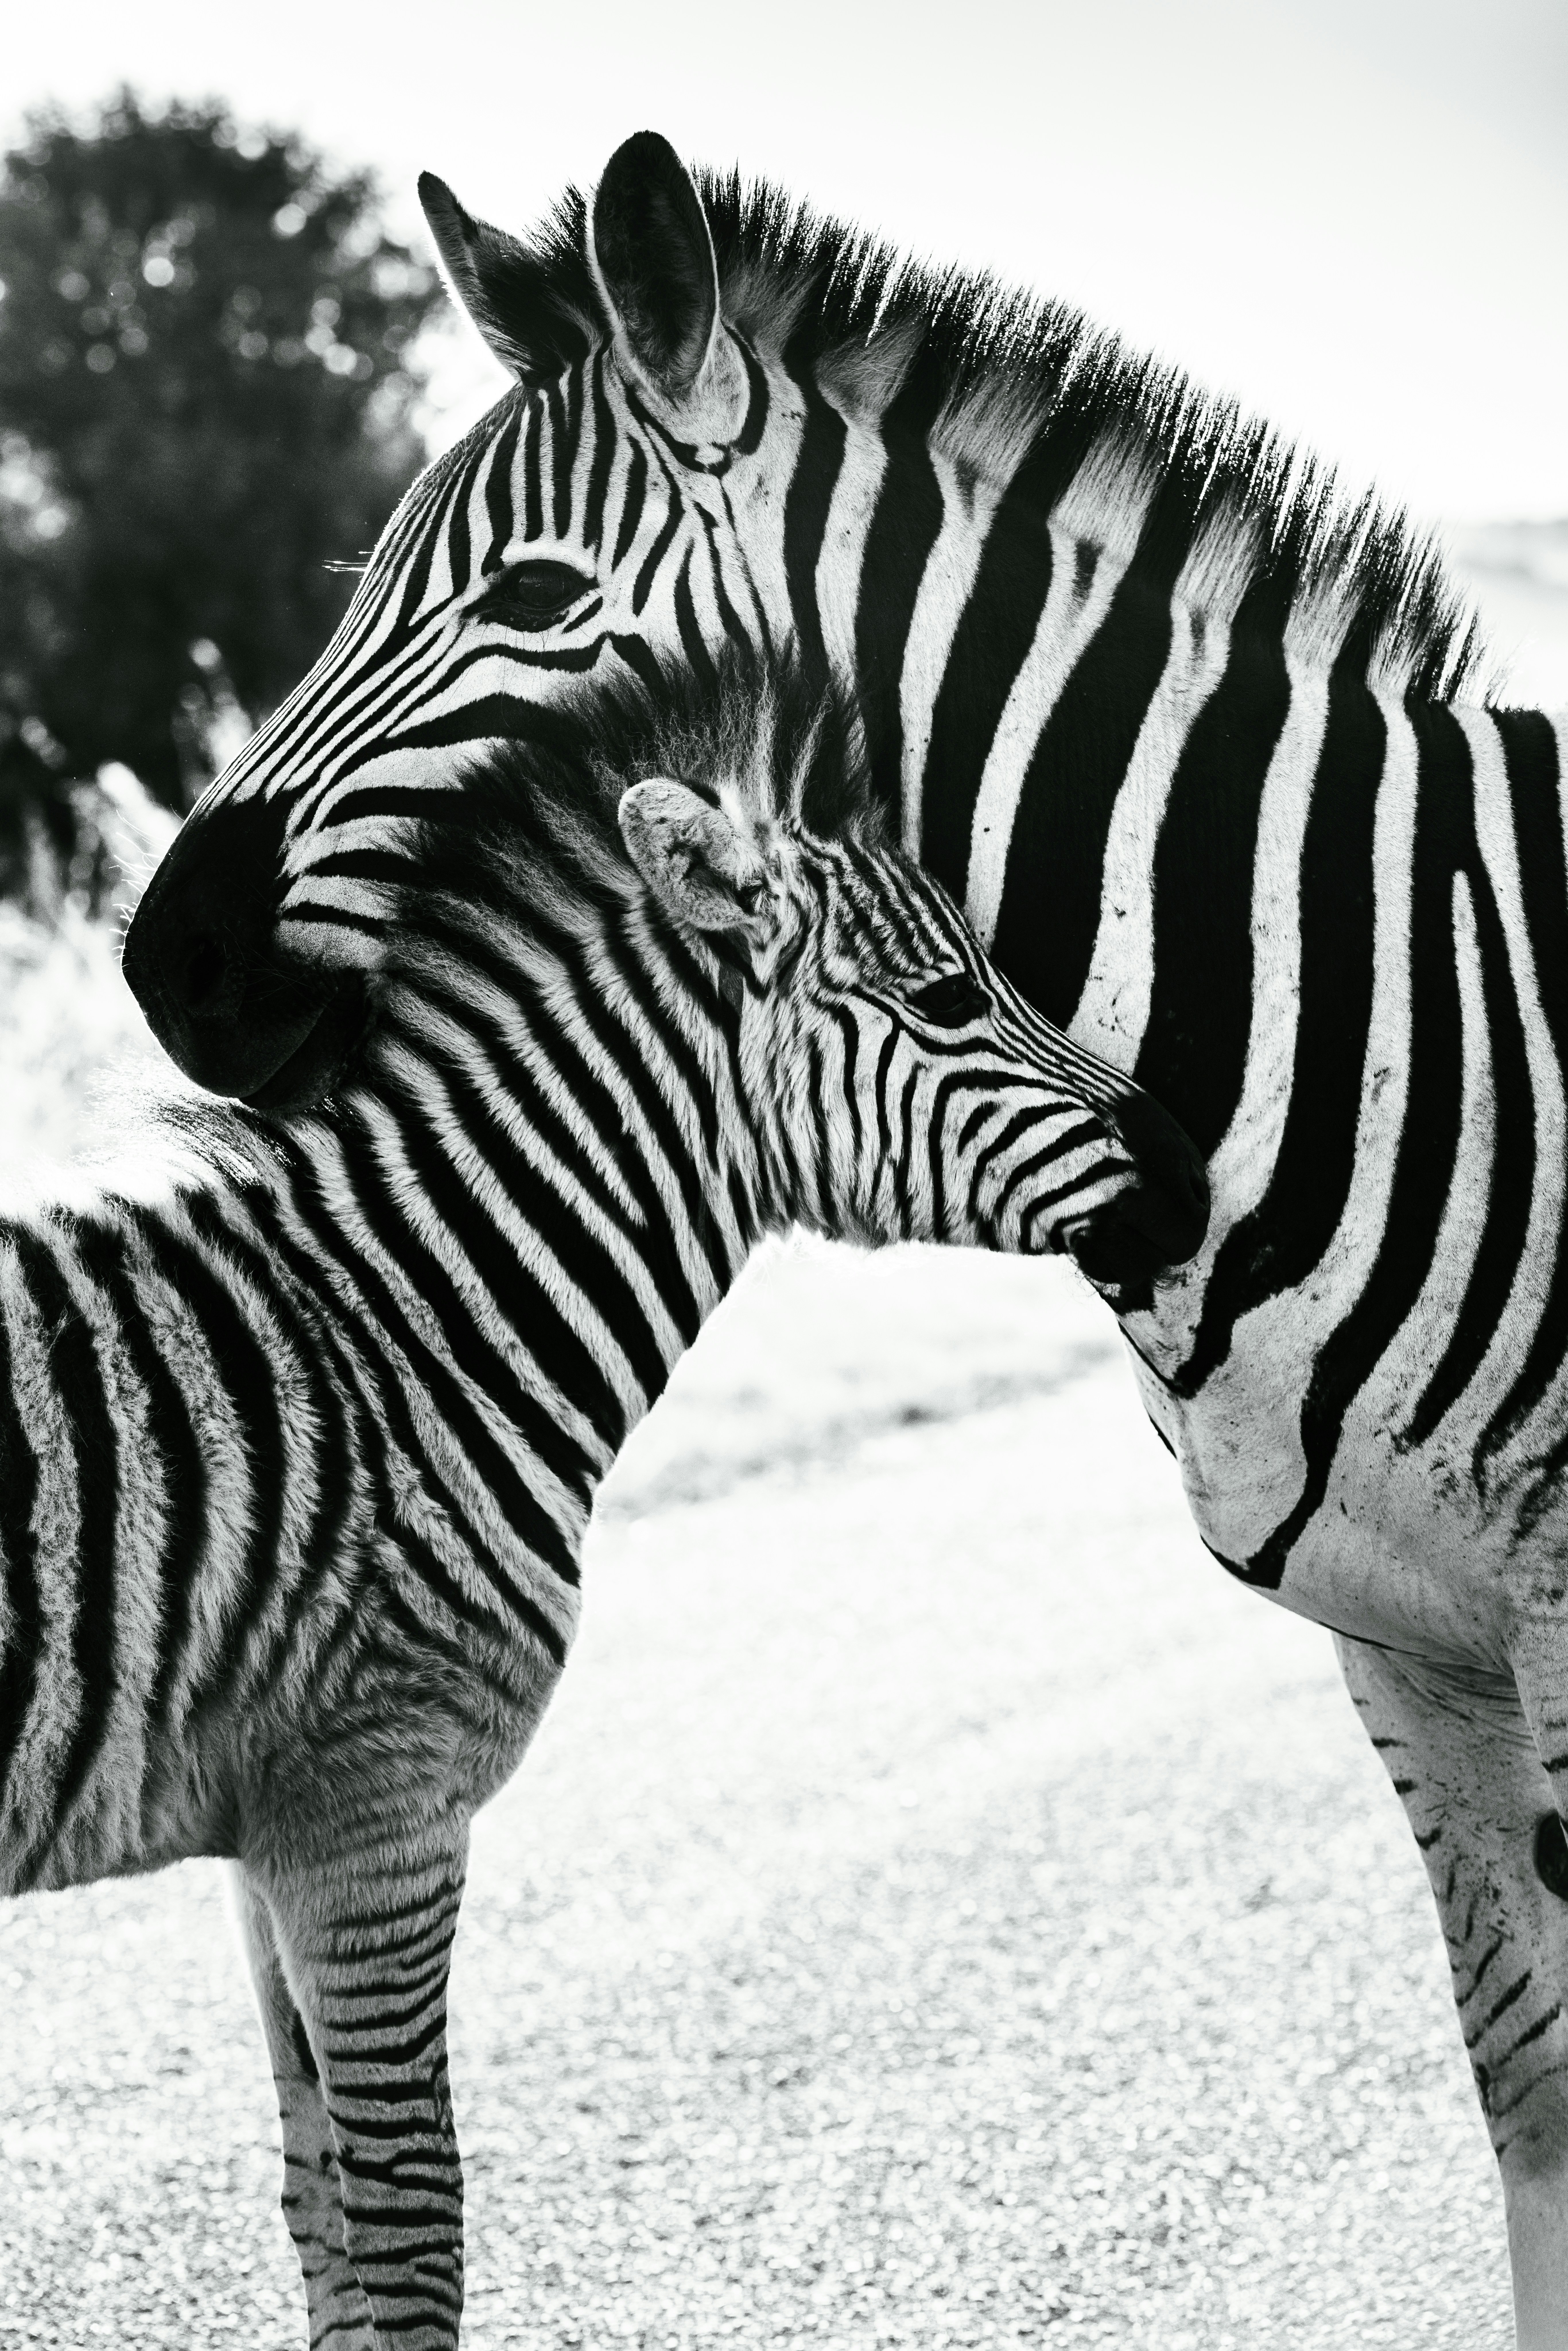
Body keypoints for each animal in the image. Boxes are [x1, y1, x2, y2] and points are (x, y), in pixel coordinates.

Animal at [11, 661, 1206, 2349]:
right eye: (946, 1002)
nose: (1192, 1177)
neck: (406, 1329)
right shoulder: (380, 1811)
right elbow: (412, 2228)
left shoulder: (271, 1827)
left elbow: (320, 2209)